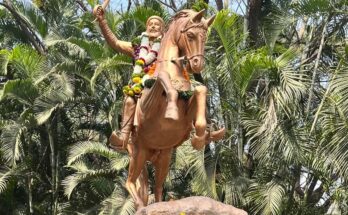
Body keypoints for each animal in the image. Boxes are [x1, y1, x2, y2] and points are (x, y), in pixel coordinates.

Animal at [126, 10, 224, 208]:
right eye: (191, 35)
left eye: (205, 37)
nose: (197, 64)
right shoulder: (147, 109)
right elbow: (162, 77)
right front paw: (171, 110)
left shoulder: (187, 110)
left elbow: (201, 90)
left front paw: (200, 138)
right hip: (137, 153)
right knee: (130, 182)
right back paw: (140, 206)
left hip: (163, 156)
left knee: (157, 187)